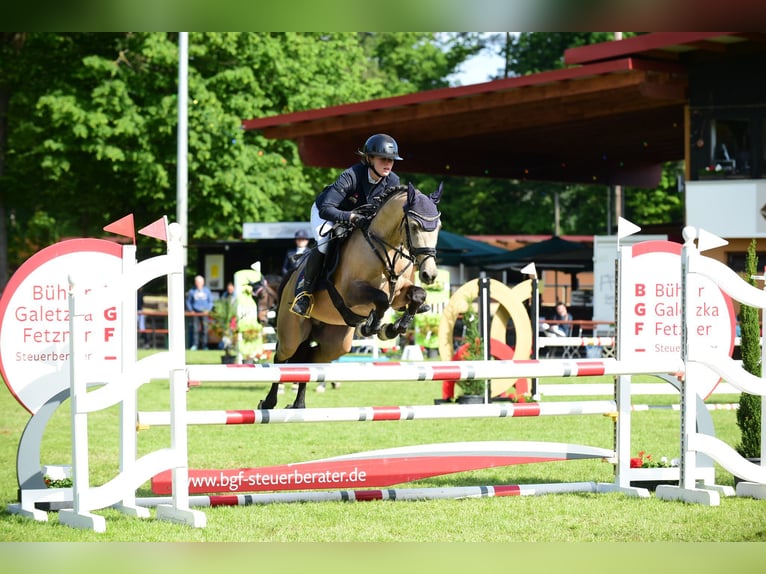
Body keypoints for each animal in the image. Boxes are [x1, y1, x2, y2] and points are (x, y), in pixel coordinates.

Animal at [260, 182, 444, 412]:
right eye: (414, 225)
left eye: (438, 227)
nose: (430, 274)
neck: (385, 247)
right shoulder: (350, 293)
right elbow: (381, 298)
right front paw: (373, 326)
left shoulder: (400, 295)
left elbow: (418, 295)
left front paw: (393, 328)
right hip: (292, 332)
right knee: (281, 357)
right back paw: (268, 402)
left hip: (336, 342)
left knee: (311, 361)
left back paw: (299, 404)